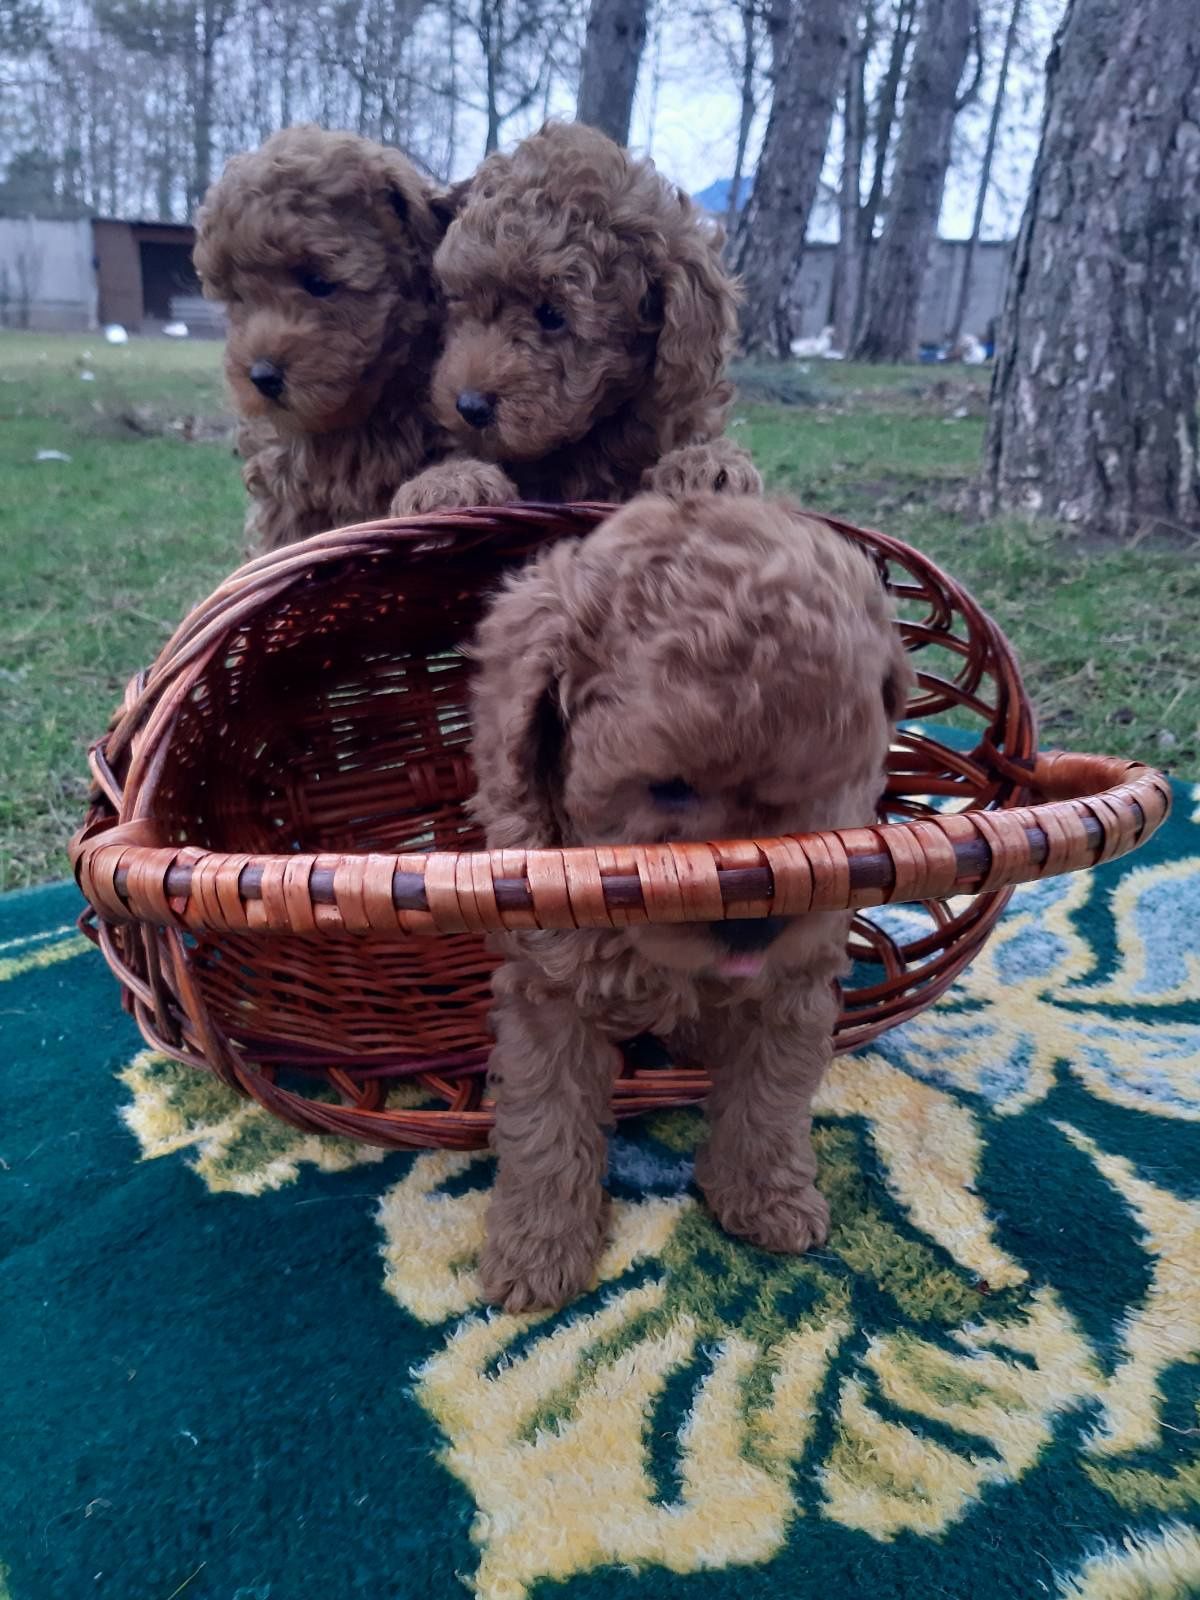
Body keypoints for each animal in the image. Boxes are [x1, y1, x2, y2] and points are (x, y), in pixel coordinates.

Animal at [470, 496, 908, 1312]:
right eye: (668, 787)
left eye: (831, 781)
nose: (761, 920)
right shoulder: (546, 988)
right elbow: (545, 1120)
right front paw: (536, 1253)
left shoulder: (794, 981)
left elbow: (771, 1097)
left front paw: (767, 1198)